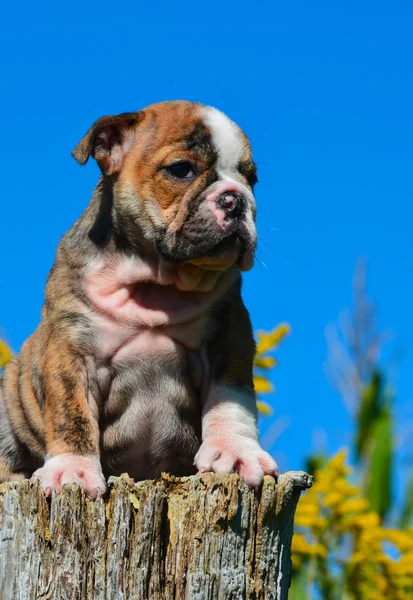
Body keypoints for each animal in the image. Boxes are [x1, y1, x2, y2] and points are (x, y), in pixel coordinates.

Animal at [0, 101, 276, 500]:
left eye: (251, 179)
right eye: (181, 169)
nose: (236, 198)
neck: (155, 282)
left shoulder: (230, 338)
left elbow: (231, 400)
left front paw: (236, 452)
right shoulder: (70, 350)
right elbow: (72, 413)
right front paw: (72, 470)